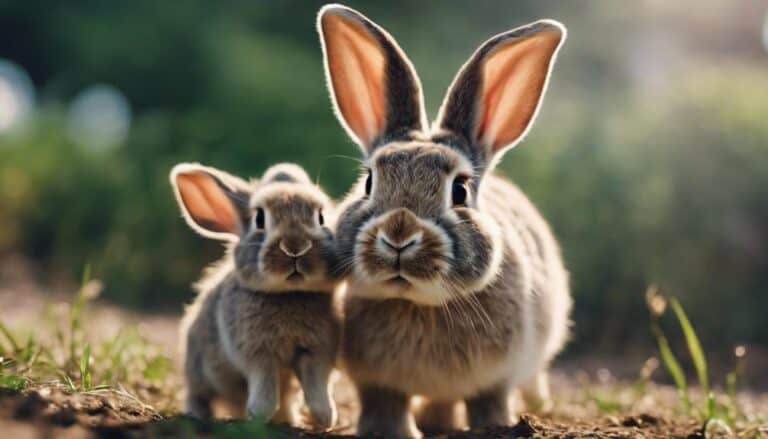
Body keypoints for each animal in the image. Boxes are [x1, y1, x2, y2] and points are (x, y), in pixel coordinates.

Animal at [170, 162, 340, 429]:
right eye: (260, 219)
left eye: (320, 217)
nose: (295, 247)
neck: (289, 294)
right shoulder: (259, 354)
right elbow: (265, 388)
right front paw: (258, 417)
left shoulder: (317, 352)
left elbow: (316, 388)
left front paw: (324, 420)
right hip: (198, 372)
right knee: (197, 395)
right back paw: (199, 415)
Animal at [317, 4, 571, 437]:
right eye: (369, 182)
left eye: (460, 191)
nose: (399, 233)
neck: (418, 303)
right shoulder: (376, 383)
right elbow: (385, 406)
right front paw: (389, 432)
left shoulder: (495, 379)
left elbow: (488, 403)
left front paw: (495, 426)